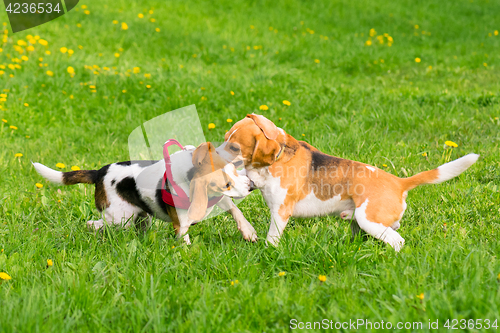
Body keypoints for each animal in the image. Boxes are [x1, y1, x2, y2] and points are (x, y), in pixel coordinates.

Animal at [33, 141, 258, 243]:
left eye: (234, 168)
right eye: (226, 183)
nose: (251, 185)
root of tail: (99, 173)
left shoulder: (216, 199)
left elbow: (235, 210)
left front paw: (248, 231)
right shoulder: (181, 224)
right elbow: (185, 239)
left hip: (143, 217)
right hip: (120, 218)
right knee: (94, 223)